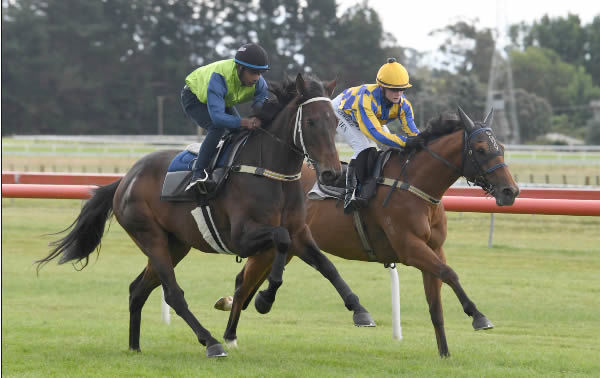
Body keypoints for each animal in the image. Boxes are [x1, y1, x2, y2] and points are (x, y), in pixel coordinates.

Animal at [36, 73, 376, 358]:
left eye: (334, 123)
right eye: (312, 122)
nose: (332, 174)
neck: (269, 172)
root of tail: (125, 179)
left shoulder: (301, 232)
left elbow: (326, 265)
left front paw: (359, 310)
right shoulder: (243, 237)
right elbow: (279, 241)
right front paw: (265, 299)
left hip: (175, 244)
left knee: (137, 289)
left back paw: (134, 346)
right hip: (150, 237)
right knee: (173, 294)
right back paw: (211, 342)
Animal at [217, 107, 520, 358]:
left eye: (503, 147)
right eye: (480, 149)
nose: (511, 191)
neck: (415, 185)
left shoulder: (434, 248)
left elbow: (436, 304)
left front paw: (444, 353)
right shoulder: (410, 248)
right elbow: (450, 274)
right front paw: (479, 317)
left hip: (286, 246)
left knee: (245, 280)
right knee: (243, 283)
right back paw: (230, 334)